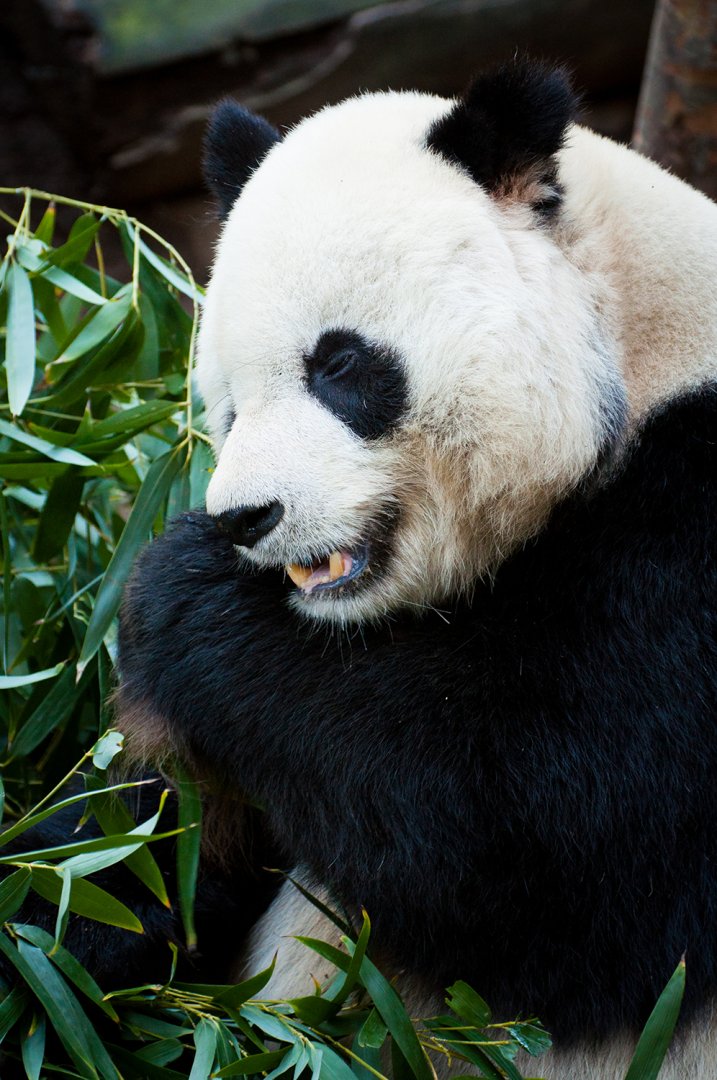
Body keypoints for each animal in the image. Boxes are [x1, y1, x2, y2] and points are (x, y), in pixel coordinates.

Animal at [116, 59, 717, 1079]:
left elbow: (554, 855)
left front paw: (181, 594)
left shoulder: (698, 528)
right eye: (229, 402)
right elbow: (157, 846)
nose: (245, 518)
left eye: (339, 363)